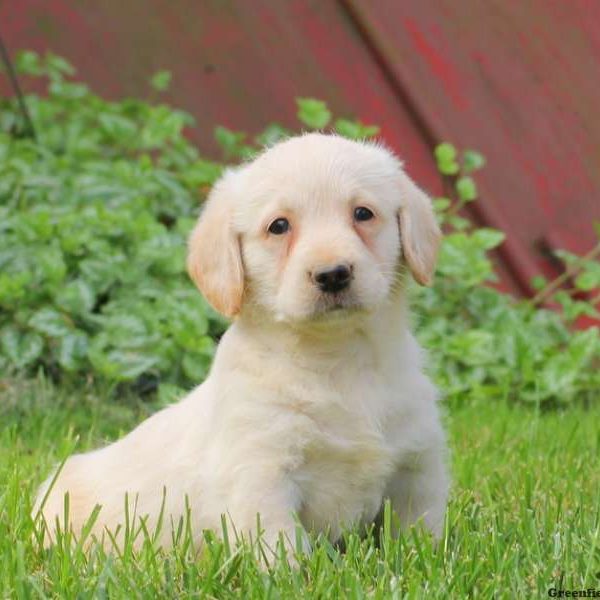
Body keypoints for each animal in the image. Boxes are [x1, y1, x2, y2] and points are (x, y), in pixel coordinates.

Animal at [32, 132, 448, 556]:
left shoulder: (418, 466)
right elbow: (280, 550)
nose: (332, 274)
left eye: (363, 213)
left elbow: (422, 533)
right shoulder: (261, 476)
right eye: (279, 226)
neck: (338, 358)